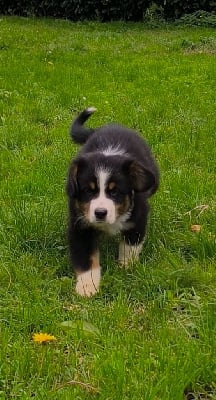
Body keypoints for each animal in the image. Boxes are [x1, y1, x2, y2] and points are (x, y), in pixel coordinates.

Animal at [66, 108, 159, 296]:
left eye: (114, 191)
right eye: (89, 191)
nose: (100, 213)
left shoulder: (138, 217)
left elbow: (130, 245)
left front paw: (126, 267)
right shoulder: (80, 225)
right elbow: (86, 258)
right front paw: (87, 286)